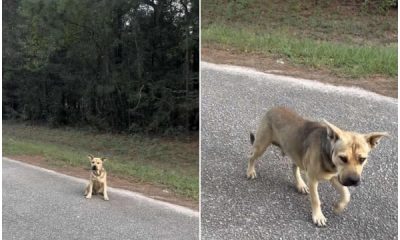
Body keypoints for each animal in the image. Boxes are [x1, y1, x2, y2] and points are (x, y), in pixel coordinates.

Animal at [247, 107, 388, 227]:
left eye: (362, 159)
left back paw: (300, 184)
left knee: (294, 167)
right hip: (261, 145)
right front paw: (318, 216)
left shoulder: (335, 177)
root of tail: (273, 109)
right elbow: (316, 199)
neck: (328, 152)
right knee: (251, 156)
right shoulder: (313, 179)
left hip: (297, 153)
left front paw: (339, 206)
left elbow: (346, 194)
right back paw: (250, 171)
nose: (353, 181)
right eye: (343, 158)